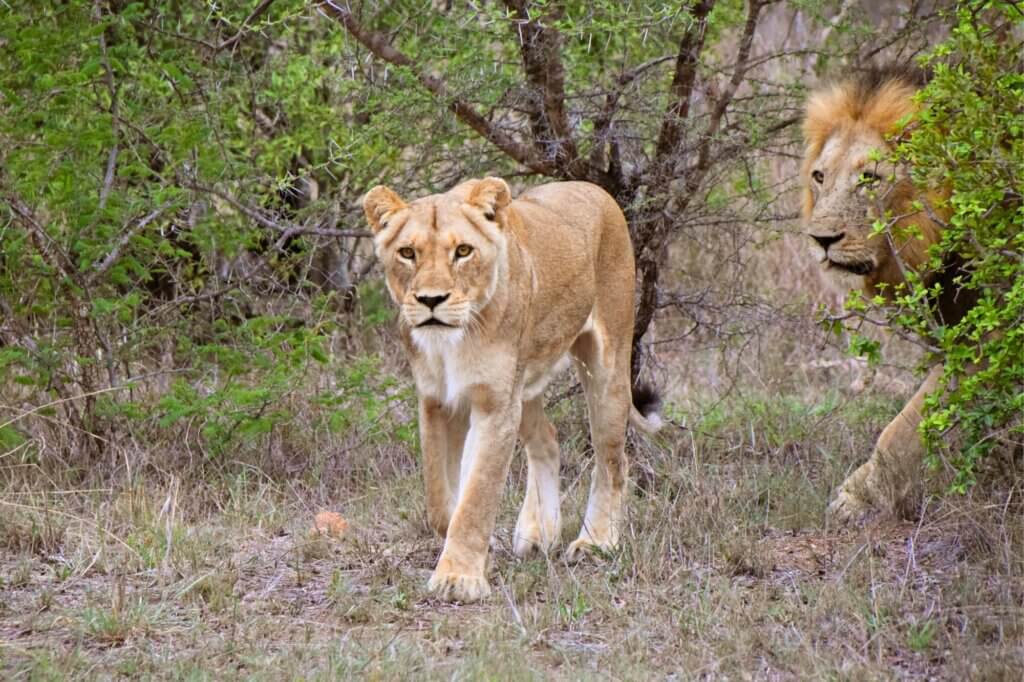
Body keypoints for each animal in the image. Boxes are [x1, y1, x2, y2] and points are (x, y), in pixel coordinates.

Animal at [363, 177, 662, 602]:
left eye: (463, 251)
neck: (452, 343)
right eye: (407, 253)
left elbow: (477, 494)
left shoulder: (494, 405)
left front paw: (459, 578)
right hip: (525, 384)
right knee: (548, 440)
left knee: (612, 460)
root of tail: (592, 188)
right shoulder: (438, 401)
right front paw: (476, 556)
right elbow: (441, 501)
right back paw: (539, 534)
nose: (431, 300)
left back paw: (596, 542)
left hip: (608, 364)